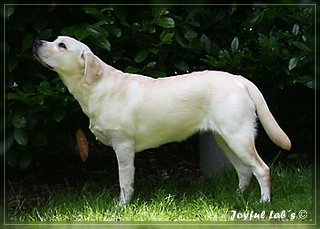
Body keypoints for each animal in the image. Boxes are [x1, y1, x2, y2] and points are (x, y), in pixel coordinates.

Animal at [33, 36, 292, 206]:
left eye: (62, 45)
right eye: (55, 39)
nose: (36, 42)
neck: (93, 87)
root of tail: (239, 78)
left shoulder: (123, 145)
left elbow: (124, 180)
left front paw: (122, 206)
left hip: (237, 136)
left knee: (262, 169)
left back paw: (264, 202)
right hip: (225, 139)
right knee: (245, 171)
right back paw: (237, 197)